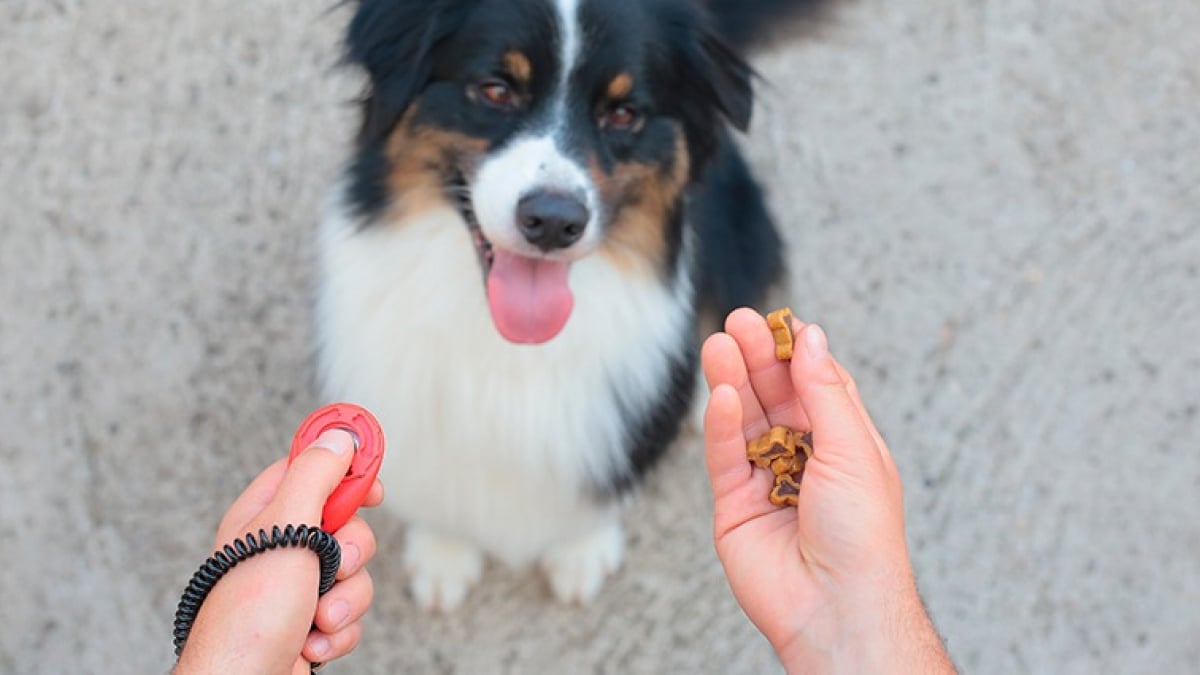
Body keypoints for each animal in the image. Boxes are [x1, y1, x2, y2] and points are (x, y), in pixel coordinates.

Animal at [314, 0, 830, 610]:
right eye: (495, 90)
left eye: (624, 113)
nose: (553, 221)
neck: (508, 345)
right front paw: (444, 552)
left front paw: (580, 550)